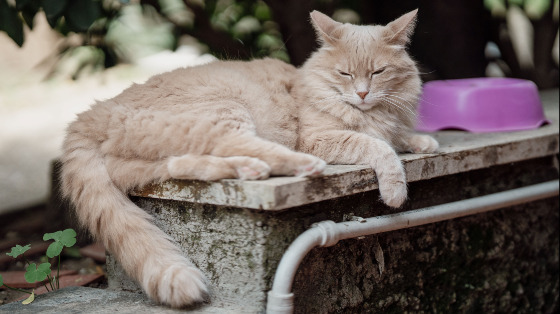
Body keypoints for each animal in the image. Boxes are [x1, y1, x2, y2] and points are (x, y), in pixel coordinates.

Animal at [60, 9, 438, 306]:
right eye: (344, 73)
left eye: (378, 72)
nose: (361, 93)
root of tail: (94, 112)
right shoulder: (318, 138)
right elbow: (379, 147)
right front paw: (395, 190)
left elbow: (399, 138)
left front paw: (425, 142)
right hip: (228, 110)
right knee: (242, 145)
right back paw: (295, 165)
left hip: (154, 155)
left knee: (188, 162)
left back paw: (250, 170)